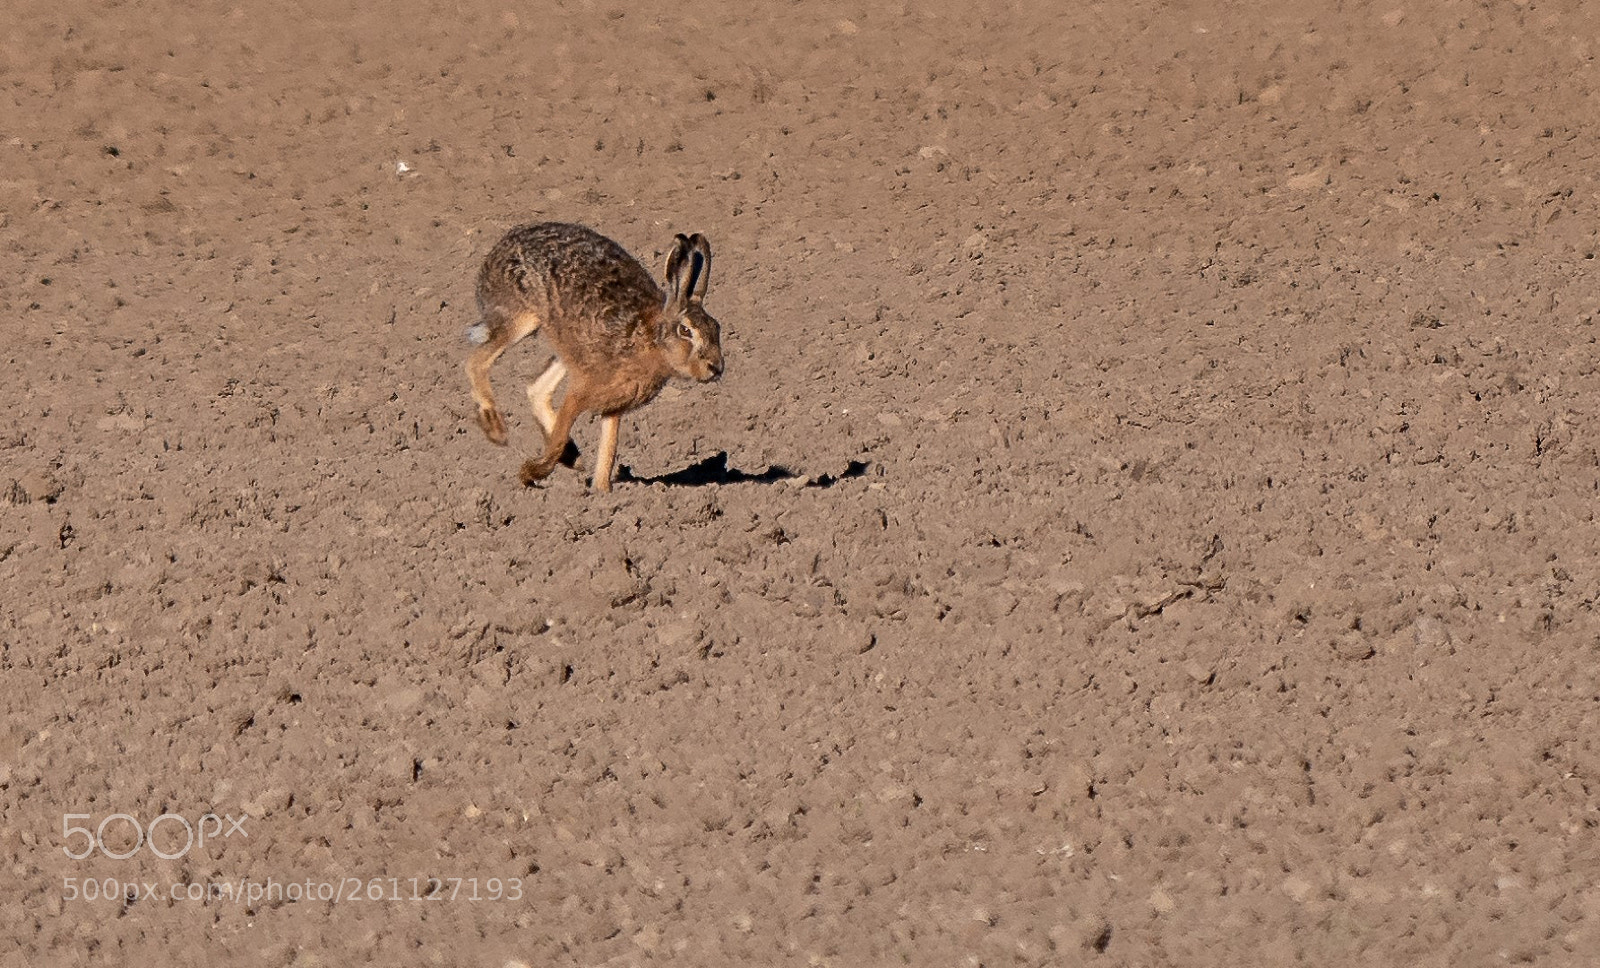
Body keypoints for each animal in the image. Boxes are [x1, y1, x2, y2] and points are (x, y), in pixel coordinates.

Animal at [464, 221, 724, 492]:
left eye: (716, 328)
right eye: (685, 331)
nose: (716, 367)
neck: (650, 340)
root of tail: (500, 248)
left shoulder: (614, 406)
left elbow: (608, 451)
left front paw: (602, 492)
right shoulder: (580, 392)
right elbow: (559, 436)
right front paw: (529, 473)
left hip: (567, 348)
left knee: (537, 388)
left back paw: (573, 457)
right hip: (523, 320)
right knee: (477, 361)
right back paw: (496, 429)